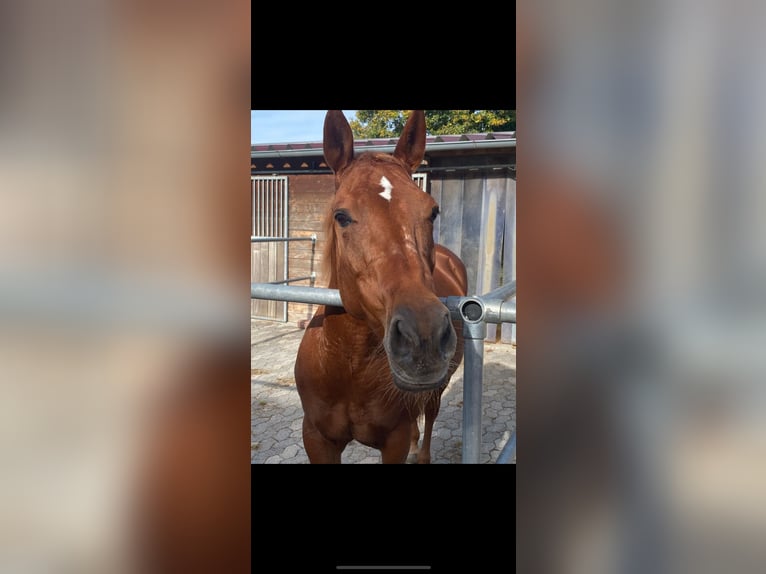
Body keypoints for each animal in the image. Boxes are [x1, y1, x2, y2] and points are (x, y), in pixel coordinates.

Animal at [293, 110, 468, 464]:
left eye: (433, 211)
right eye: (341, 215)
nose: (423, 335)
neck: (349, 367)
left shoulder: (393, 441)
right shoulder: (316, 438)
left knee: (429, 415)